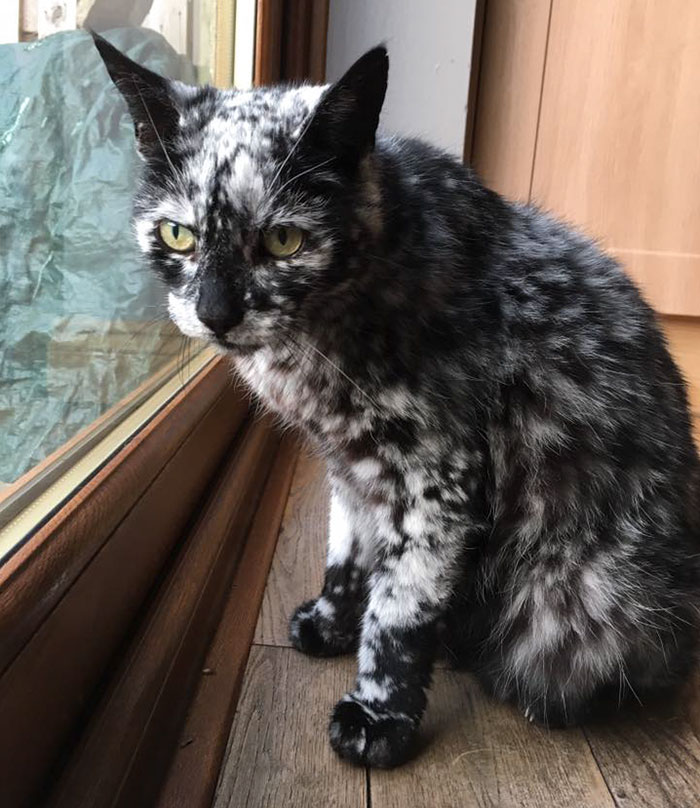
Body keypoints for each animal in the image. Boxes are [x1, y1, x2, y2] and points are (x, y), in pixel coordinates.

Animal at [94, 36, 700, 772]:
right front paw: (331, 622)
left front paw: (377, 716)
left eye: (283, 241)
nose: (215, 314)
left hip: (583, 599)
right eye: (178, 236)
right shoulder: (350, 465)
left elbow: (401, 610)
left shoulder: (437, 478)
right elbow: (346, 548)